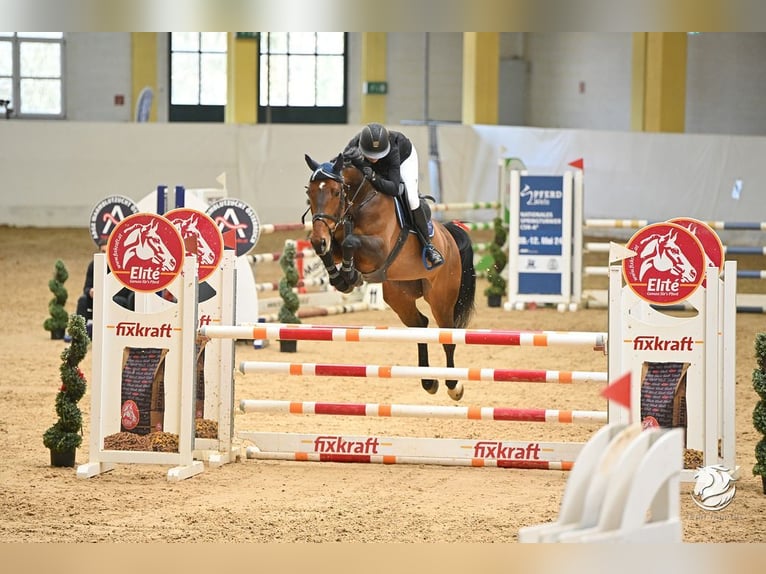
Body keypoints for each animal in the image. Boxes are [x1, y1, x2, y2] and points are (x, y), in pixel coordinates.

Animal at [304, 155, 474, 402]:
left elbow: (350, 242)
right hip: (399, 295)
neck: (359, 201)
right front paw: (342, 278)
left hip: (441, 298)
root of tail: (449, 235)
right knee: (420, 325)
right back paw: (428, 381)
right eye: (309, 192)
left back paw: (453, 386)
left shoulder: (379, 249)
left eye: (336, 192)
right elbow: (330, 250)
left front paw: (350, 274)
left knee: (446, 336)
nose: (319, 239)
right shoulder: (333, 240)